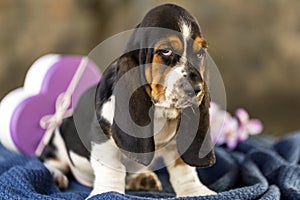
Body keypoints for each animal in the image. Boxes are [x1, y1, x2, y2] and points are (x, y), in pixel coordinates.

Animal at [41, 3, 217, 198]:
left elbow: (183, 168)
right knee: (51, 162)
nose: (197, 89)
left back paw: (141, 179)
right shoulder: (103, 134)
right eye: (166, 51)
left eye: (200, 53)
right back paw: (56, 176)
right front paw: (108, 191)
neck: (160, 110)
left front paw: (195, 191)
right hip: (58, 141)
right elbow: (112, 166)